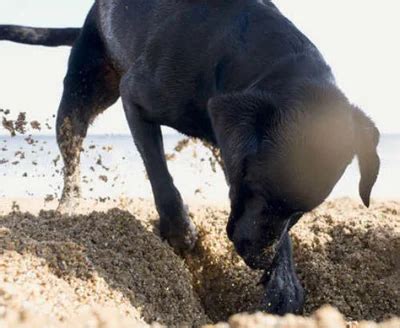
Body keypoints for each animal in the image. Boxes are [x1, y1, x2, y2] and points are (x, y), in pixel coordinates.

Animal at [0, 0, 380, 316]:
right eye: (256, 187)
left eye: (303, 212)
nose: (258, 260)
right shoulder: (135, 98)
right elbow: (160, 177)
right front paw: (180, 231)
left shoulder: (230, 147)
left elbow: (281, 237)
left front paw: (283, 284)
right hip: (82, 90)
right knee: (72, 151)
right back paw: (69, 205)